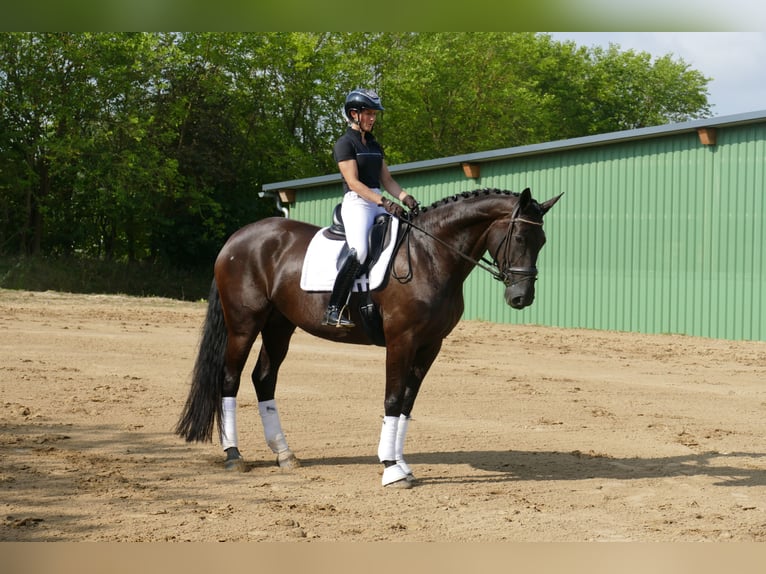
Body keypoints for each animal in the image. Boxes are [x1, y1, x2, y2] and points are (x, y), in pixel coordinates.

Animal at [178, 188, 564, 490]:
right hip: (244, 325)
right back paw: (234, 455)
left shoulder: (430, 346)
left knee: (264, 379)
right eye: (519, 238)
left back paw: (284, 453)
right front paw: (391, 470)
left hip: (279, 326)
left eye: (543, 241)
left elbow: (407, 403)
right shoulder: (401, 341)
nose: (521, 298)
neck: (430, 255)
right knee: (230, 379)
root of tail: (237, 238)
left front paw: (401, 463)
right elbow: (392, 399)